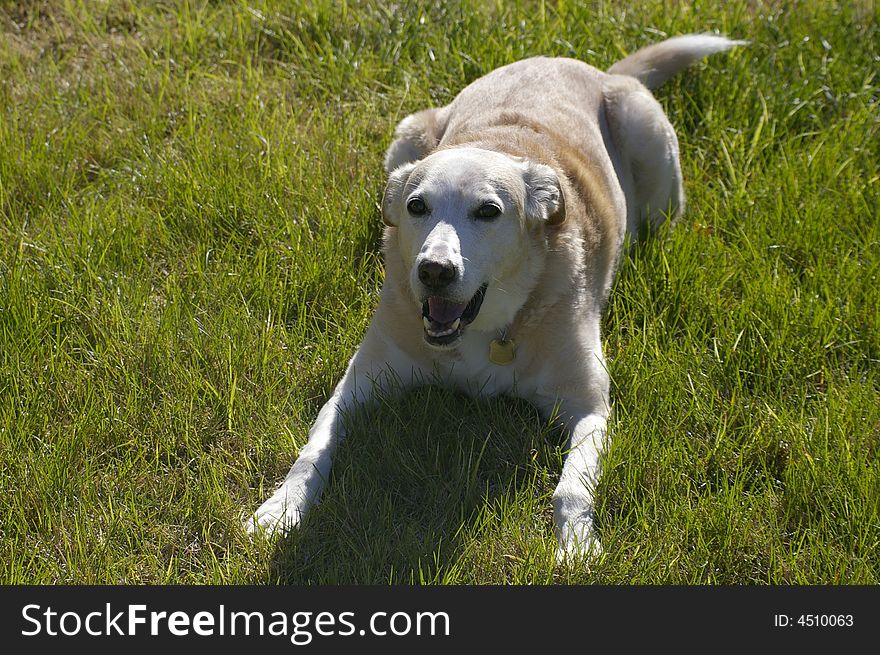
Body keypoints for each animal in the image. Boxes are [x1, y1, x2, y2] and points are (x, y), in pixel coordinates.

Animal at [246, 33, 744, 560]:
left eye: (488, 211)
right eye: (416, 206)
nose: (434, 271)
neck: (485, 332)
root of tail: (590, 69)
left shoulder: (588, 405)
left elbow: (572, 487)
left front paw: (576, 546)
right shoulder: (357, 384)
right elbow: (313, 450)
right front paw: (280, 510)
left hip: (646, 136)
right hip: (408, 132)